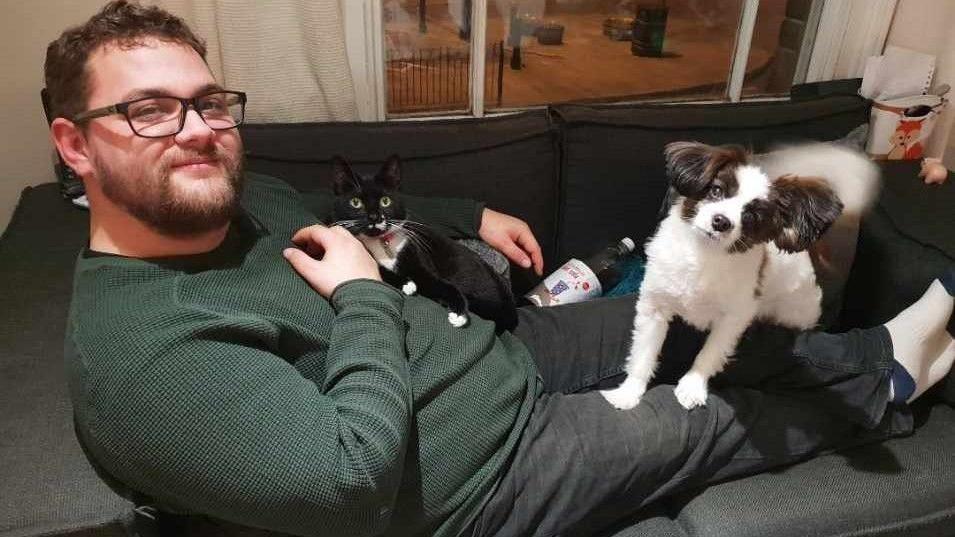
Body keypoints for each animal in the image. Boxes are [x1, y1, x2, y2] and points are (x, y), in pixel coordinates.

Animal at [332, 153, 520, 332]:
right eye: (356, 202)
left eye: (385, 201)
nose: (374, 217)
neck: (381, 242)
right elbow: (377, 268)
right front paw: (406, 283)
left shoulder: (418, 257)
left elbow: (442, 284)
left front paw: (459, 314)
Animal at [604, 140, 880, 408]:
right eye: (716, 191)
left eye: (751, 216)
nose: (721, 221)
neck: (705, 255)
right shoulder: (655, 307)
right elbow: (643, 354)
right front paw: (629, 392)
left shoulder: (733, 319)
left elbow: (710, 353)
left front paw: (692, 386)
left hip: (794, 314)